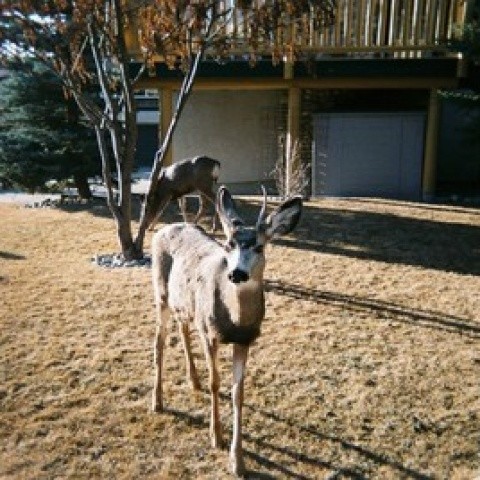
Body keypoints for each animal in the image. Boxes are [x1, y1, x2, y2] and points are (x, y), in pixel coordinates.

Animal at [152, 185, 302, 476]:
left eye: (259, 246)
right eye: (229, 244)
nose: (237, 274)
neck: (236, 321)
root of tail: (164, 228)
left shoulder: (245, 340)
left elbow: (237, 393)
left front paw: (238, 461)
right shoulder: (209, 332)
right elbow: (216, 383)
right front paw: (216, 437)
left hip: (184, 304)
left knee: (182, 327)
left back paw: (193, 381)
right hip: (161, 293)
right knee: (159, 340)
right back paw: (157, 402)